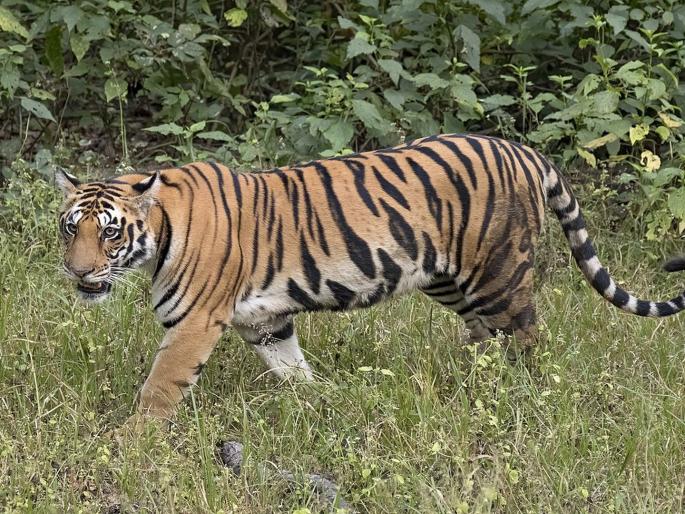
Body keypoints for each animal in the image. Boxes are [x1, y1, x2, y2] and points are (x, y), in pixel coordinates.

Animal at [55, 133, 685, 422]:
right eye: (70, 230)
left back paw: (521, 396)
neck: (159, 233)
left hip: (499, 273)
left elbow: (159, 388)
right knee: (485, 337)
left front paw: (134, 442)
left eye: (109, 233)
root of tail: (522, 149)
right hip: (449, 279)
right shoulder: (266, 321)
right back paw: (470, 384)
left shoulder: (193, 324)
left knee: (527, 339)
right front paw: (319, 402)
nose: (78, 272)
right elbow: (292, 368)